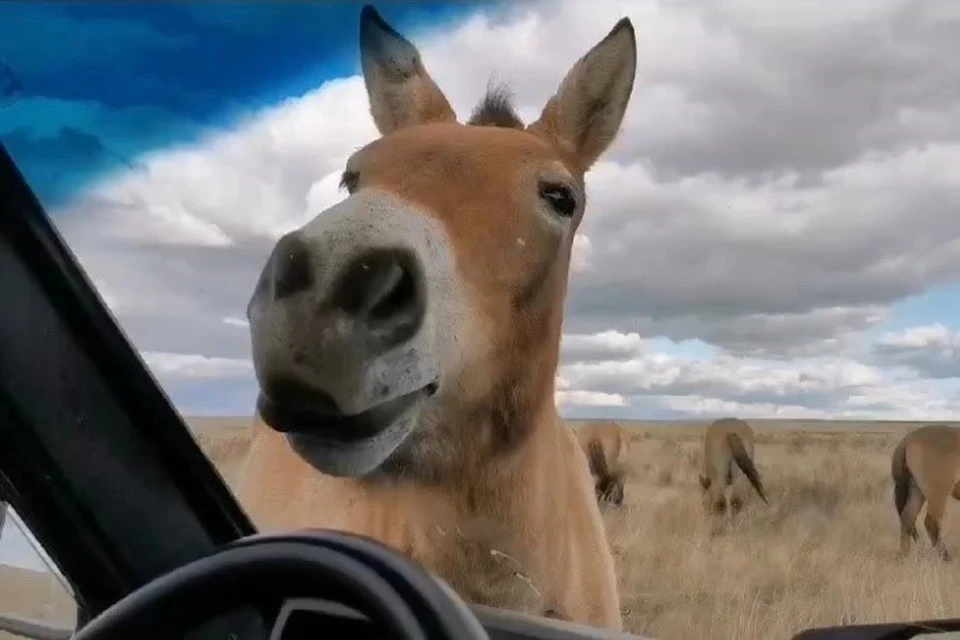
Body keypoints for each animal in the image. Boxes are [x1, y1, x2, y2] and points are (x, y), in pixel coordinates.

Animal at [888, 424, 960, 560]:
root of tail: (907, 438)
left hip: (917, 491)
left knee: (908, 518)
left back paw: (903, 556)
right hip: (938, 493)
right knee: (931, 523)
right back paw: (946, 558)